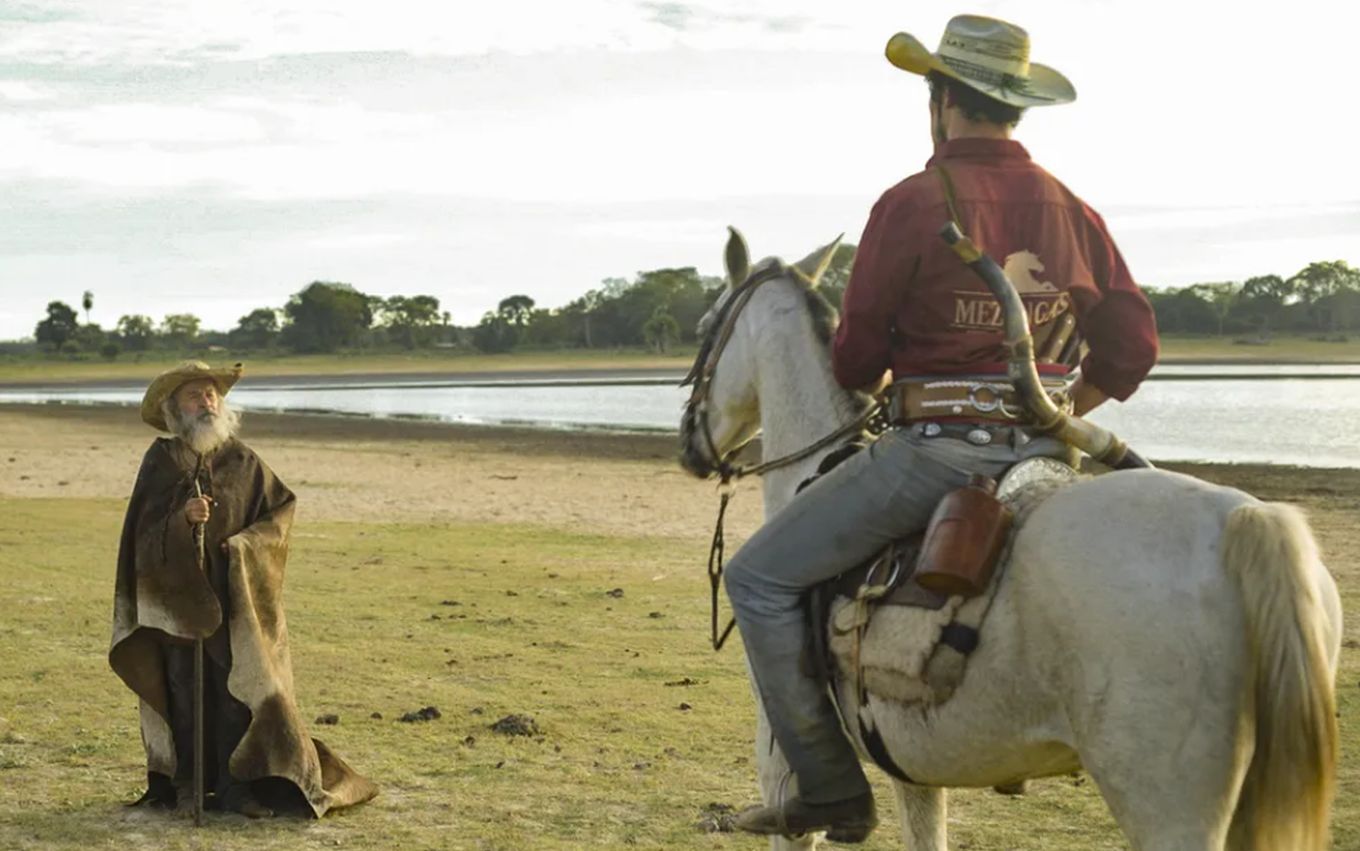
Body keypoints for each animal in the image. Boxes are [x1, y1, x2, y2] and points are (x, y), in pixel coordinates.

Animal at [680, 225, 1338, 848]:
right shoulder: (916, 773)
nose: (690, 445)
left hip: (1168, 807)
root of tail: (1242, 521)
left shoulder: (782, 770)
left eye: (706, 327)